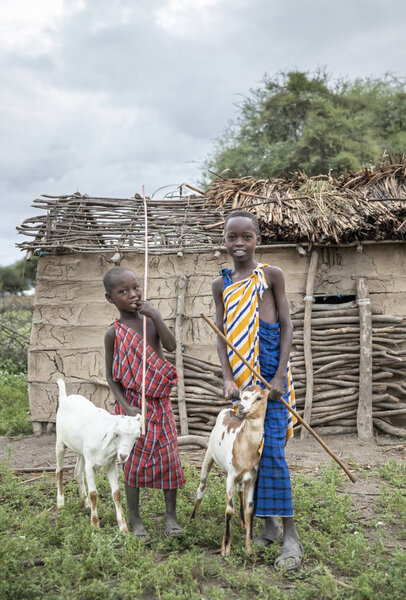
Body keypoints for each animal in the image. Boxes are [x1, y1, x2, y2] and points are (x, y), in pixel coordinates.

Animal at [55, 380, 141, 536]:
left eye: (137, 437)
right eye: (117, 433)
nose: (123, 456)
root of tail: (65, 398)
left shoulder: (111, 465)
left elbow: (117, 494)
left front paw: (123, 528)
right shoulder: (90, 466)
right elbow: (94, 493)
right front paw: (95, 526)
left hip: (82, 451)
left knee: (77, 472)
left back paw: (85, 504)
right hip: (60, 442)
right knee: (59, 472)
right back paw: (60, 504)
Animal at [191, 386, 268, 556]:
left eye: (259, 397)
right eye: (241, 396)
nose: (242, 409)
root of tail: (227, 410)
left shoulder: (252, 477)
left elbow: (249, 509)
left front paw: (249, 548)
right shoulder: (231, 476)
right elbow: (229, 509)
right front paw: (226, 547)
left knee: (240, 491)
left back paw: (243, 524)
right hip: (208, 455)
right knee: (201, 487)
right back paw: (192, 521)